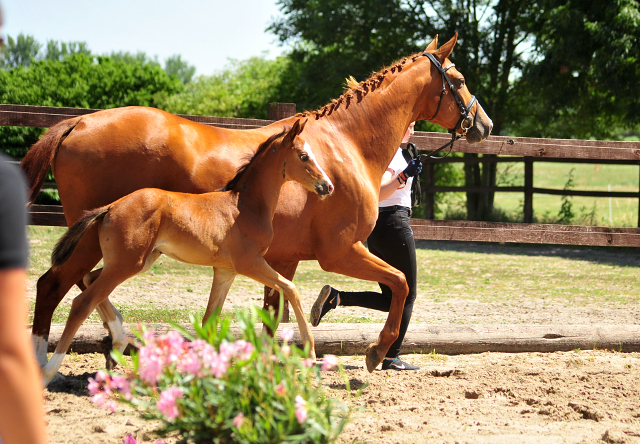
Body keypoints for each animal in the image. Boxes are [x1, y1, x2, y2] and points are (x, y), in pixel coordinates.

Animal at [40, 120, 332, 386]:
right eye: (303, 155)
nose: (327, 186)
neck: (246, 206)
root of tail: (111, 207)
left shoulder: (226, 271)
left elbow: (209, 320)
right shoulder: (250, 263)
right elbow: (291, 289)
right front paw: (310, 351)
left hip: (139, 260)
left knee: (88, 280)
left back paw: (119, 341)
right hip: (127, 263)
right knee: (82, 302)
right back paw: (49, 371)